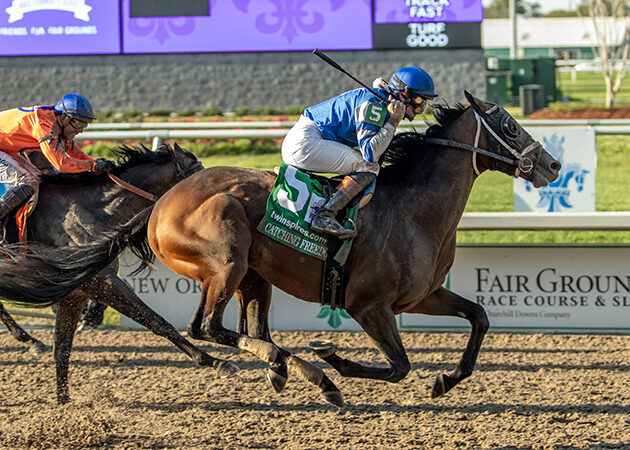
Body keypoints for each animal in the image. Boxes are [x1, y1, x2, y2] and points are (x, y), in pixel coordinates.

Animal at [0, 145, 238, 404]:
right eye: (202, 181)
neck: (92, 211)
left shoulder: (76, 293)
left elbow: (62, 348)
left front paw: (63, 403)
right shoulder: (101, 283)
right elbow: (156, 321)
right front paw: (218, 362)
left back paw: (32, 341)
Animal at [147, 92, 564, 408]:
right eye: (510, 127)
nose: (554, 165)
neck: (414, 210)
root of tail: (160, 206)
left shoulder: (421, 297)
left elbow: (479, 316)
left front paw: (446, 380)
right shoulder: (367, 304)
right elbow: (399, 366)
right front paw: (333, 357)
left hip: (252, 275)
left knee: (250, 331)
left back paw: (288, 370)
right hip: (227, 259)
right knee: (205, 327)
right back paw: (312, 373)